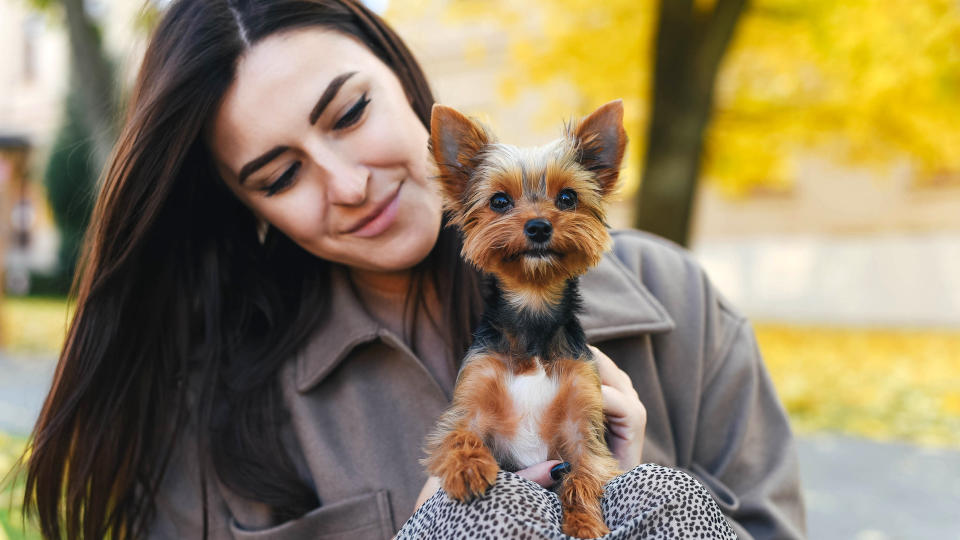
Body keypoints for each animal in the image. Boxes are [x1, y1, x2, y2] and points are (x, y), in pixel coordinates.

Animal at [424, 100, 628, 536]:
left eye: (567, 197)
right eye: (500, 201)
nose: (538, 226)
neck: (532, 307)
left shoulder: (582, 425)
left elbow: (582, 475)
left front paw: (584, 524)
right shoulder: (473, 398)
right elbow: (460, 433)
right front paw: (467, 469)